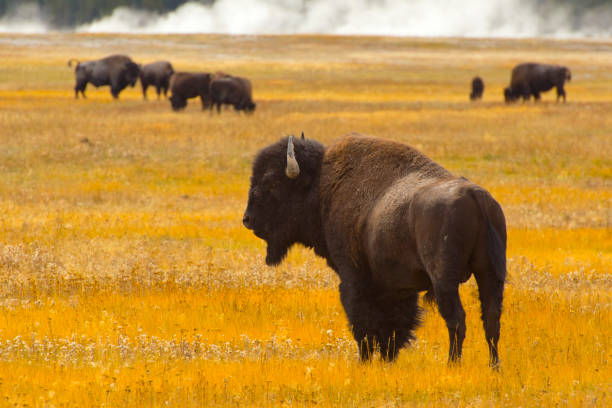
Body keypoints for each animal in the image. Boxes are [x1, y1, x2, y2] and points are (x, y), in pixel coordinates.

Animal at [244, 133, 506, 366]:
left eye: (271, 182)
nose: (248, 219)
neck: (320, 187)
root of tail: (475, 196)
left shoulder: (354, 279)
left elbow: (363, 324)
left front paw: (365, 361)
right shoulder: (397, 288)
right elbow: (394, 327)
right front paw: (388, 359)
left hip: (445, 280)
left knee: (457, 319)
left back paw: (452, 364)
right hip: (490, 274)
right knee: (491, 320)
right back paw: (494, 366)